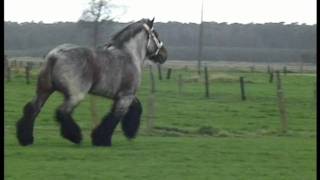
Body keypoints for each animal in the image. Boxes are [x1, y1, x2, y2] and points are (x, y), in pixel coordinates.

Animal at [16, 17, 168, 146]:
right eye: (156, 34)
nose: (164, 55)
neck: (129, 56)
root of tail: (55, 55)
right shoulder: (126, 96)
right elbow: (115, 117)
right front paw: (103, 140)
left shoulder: (123, 96)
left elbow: (136, 107)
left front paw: (128, 132)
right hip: (75, 96)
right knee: (62, 112)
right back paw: (75, 137)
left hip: (44, 91)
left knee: (32, 109)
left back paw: (26, 139)